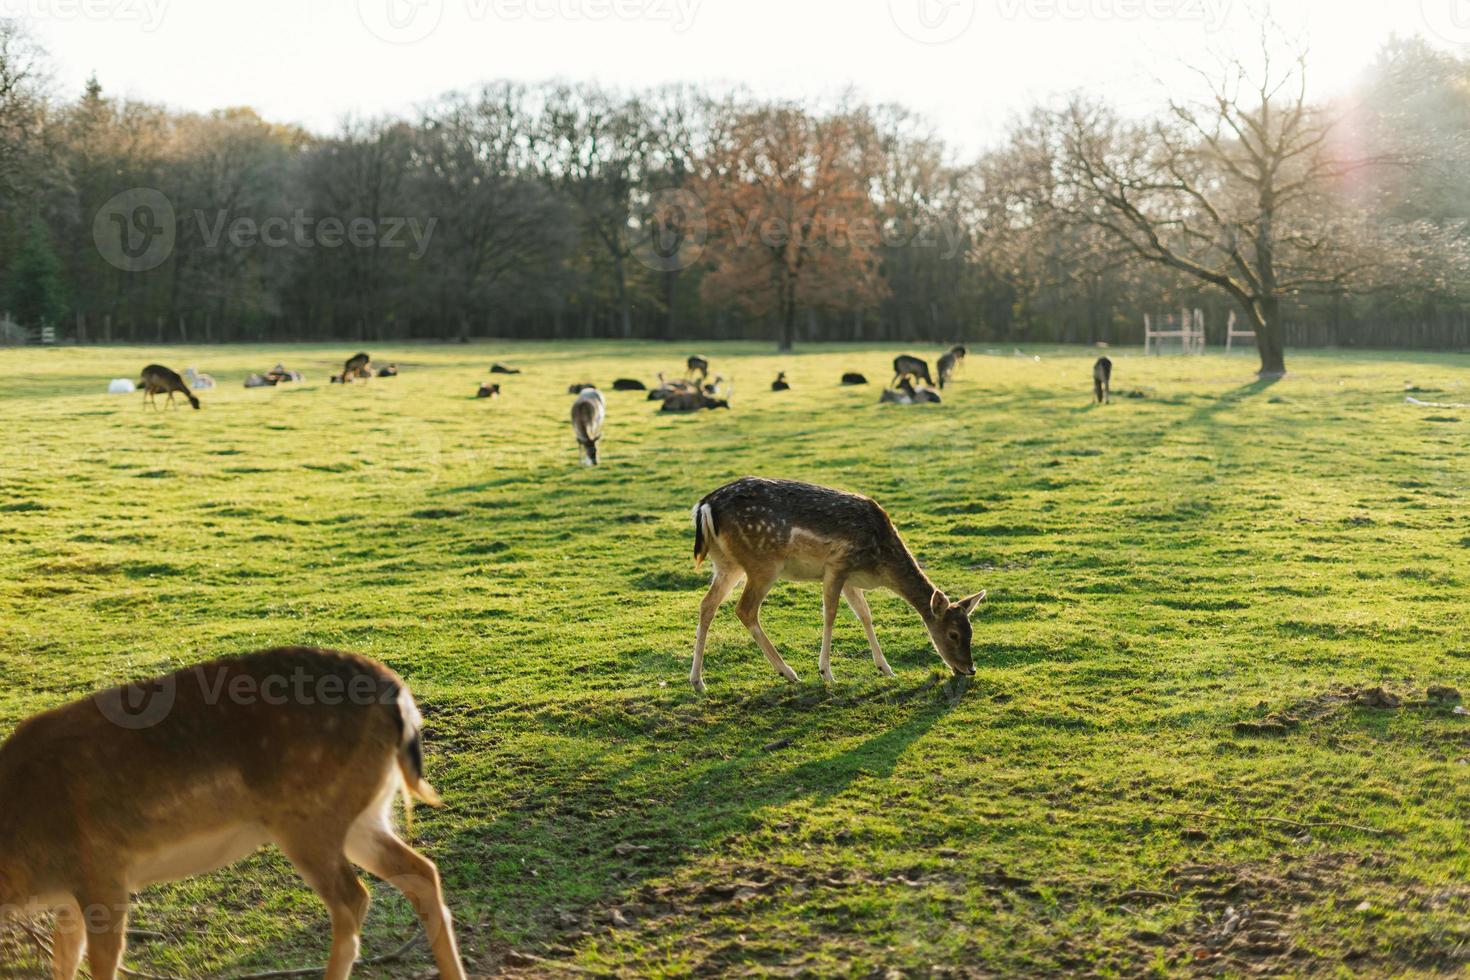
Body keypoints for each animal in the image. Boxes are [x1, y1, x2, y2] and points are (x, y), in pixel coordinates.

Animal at [0, 646, 464, 980]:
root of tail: (398, 697)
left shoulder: (102, 871)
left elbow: (100, 962)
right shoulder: (71, 894)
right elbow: (64, 959)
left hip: (309, 819)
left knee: (354, 898)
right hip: (363, 814)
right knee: (421, 872)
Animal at [690, 478, 987, 693]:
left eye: (971, 630)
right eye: (953, 634)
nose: (969, 669)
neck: (880, 564)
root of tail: (704, 507)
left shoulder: (850, 579)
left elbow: (865, 615)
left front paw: (886, 668)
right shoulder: (837, 565)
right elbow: (830, 614)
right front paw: (826, 673)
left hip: (727, 564)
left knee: (707, 604)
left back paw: (698, 681)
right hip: (763, 563)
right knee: (745, 609)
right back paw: (788, 672)